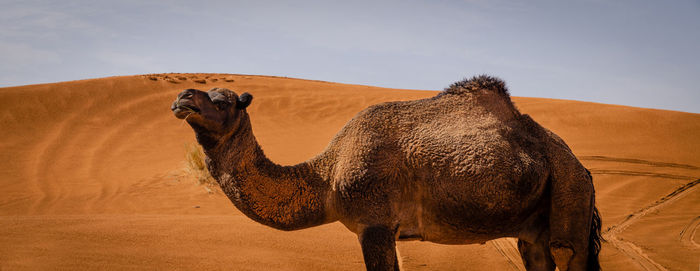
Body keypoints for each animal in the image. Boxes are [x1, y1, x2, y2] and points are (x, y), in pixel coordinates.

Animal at [172, 75, 604, 271]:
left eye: (223, 101)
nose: (182, 97)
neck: (328, 176)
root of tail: (581, 165)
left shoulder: (374, 222)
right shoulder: (385, 229)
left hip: (571, 190)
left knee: (568, 252)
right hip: (537, 223)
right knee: (537, 254)